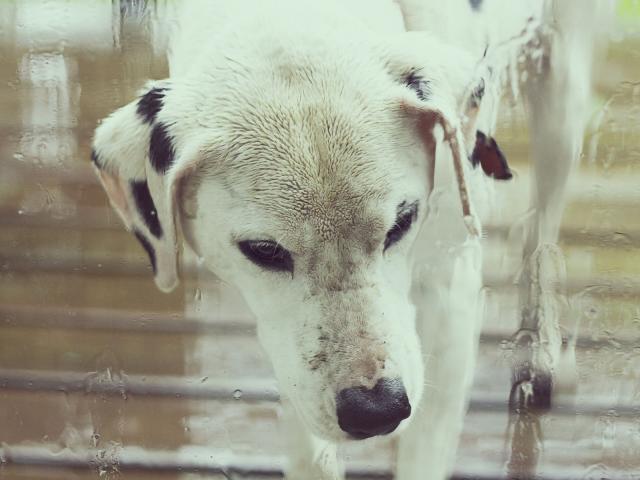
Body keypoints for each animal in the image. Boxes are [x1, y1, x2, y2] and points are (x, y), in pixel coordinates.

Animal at [91, 1, 606, 478]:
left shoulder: (449, 294)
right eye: (264, 250)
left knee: (542, 228)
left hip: (562, 98)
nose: (376, 410)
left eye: (402, 222)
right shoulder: (291, 350)